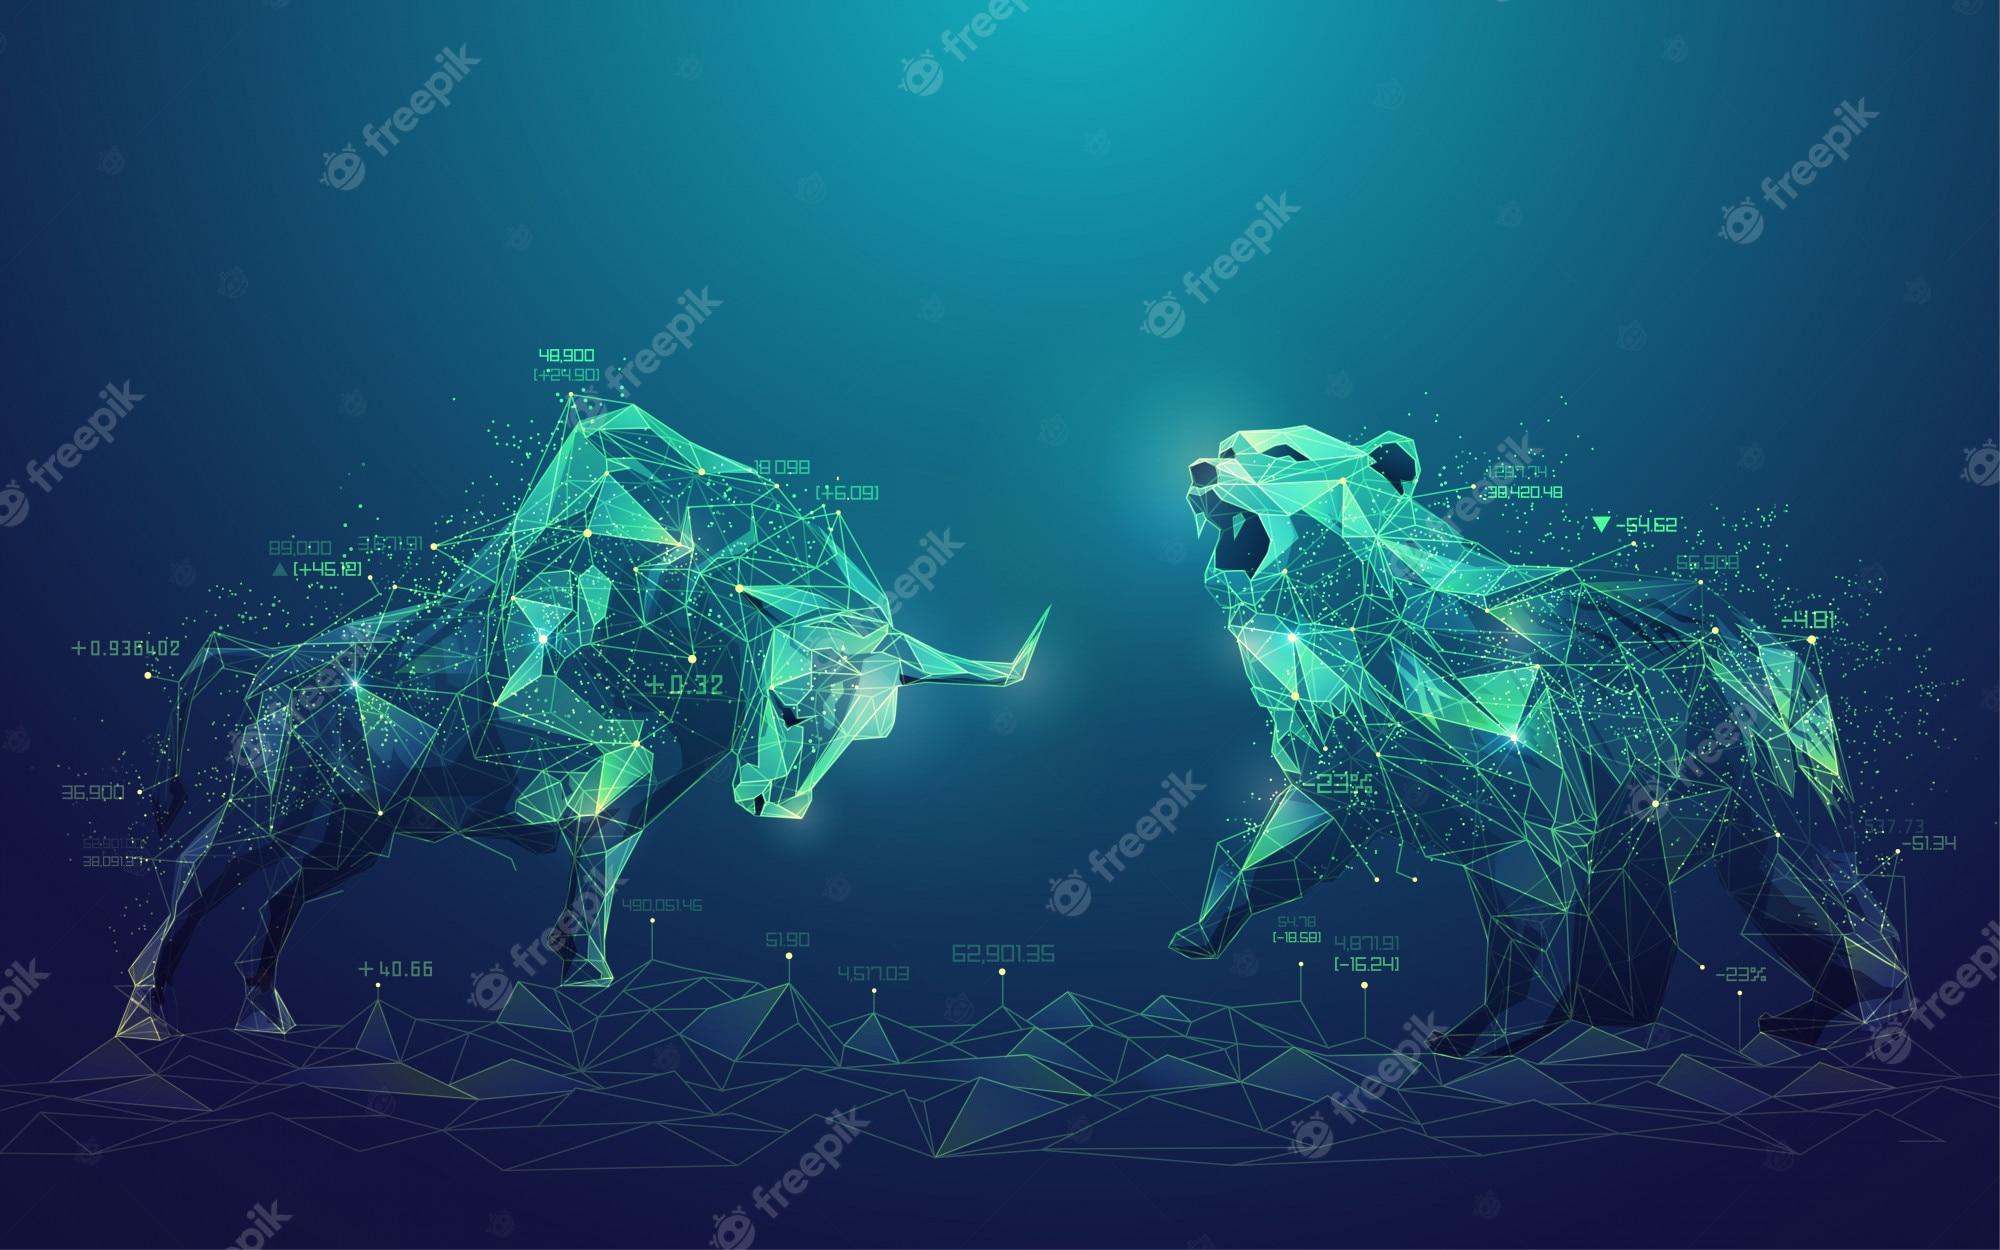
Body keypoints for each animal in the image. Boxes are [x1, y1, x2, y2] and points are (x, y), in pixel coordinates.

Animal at [118, 398, 1045, 1038]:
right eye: (790, 701)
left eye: (868, 732)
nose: (775, 804)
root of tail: (268, 666)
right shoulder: (606, 785)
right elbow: (594, 886)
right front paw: (587, 985)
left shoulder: (628, 808)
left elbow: (589, 897)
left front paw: (582, 976)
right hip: (286, 803)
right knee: (198, 869)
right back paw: (154, 1012)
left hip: (358, 829)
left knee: (281, 898)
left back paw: (260, 1012)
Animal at [1170, 425, 1908, 1055]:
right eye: (1227, 445)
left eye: (1284, 452)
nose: (1201, 469)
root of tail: (1772, 638)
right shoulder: (1346, 741)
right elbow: (1294, 835)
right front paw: (1201, 928)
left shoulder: (1509, 730)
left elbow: (1526, 890)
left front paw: (1492, 1026)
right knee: (1767, 877)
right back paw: (1808, 1009)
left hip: (1754, 744)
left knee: (1802, 866)